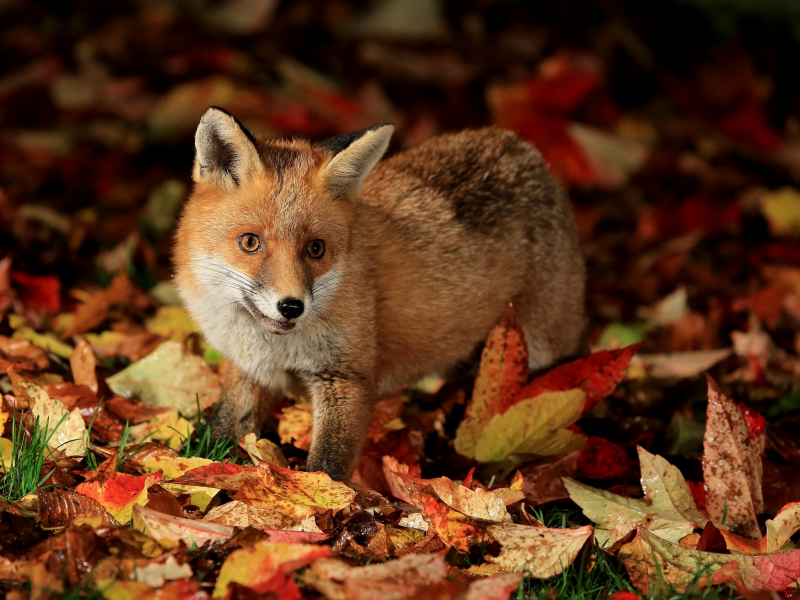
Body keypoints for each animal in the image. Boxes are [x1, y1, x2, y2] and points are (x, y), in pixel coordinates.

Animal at [175, 105, 584, 480]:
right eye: (250, 242)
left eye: (316, 249)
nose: (291, 307)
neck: (275, 347)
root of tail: (521, 147)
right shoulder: (250, 370)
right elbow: (220, 430)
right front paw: (194, 467)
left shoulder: (347, 378)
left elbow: (328, 465)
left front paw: (326, 503)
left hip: (544, 350)